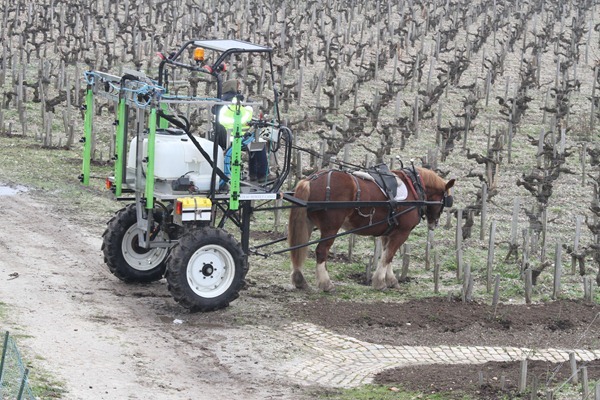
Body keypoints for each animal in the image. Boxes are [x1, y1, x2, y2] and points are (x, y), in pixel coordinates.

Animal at [288, 167, 454, 292]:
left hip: (308, 224)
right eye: (444, 200)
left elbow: (388, 255)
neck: (414, 187)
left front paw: (390, 280)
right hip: (331, 228)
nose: (434, 223)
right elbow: (388, 256)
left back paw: (300, 280)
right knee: (321, 251)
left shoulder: (389, 233)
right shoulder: (402, 232)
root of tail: (310, 180)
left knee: (298, 248)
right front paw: (380, 282)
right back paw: (326, 284)